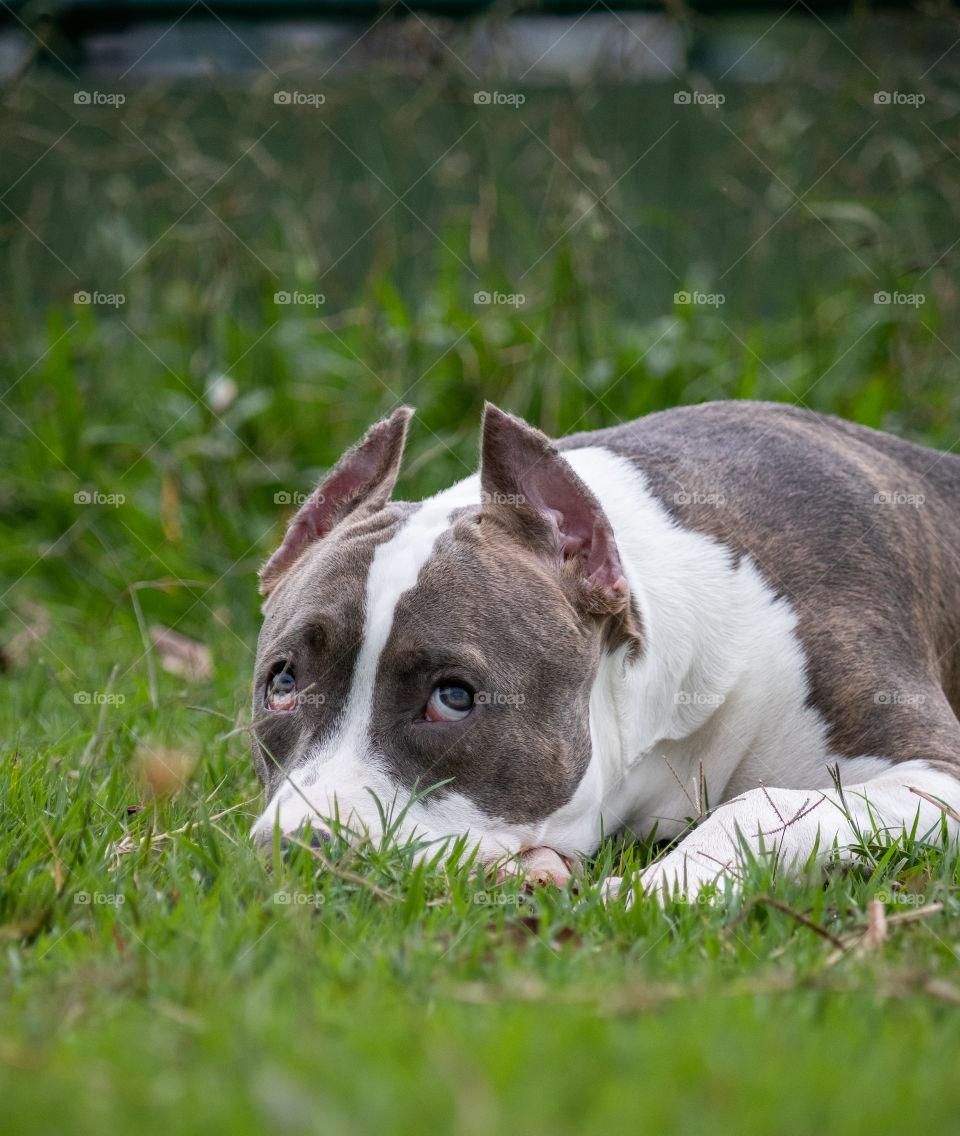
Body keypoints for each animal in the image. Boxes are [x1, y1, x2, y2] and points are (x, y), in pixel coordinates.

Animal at [248, 404, 958, 899]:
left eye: (453, 698)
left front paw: (657, 887)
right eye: (283, 685)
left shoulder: (935, 771)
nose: (296, 850)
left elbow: (768, 801)